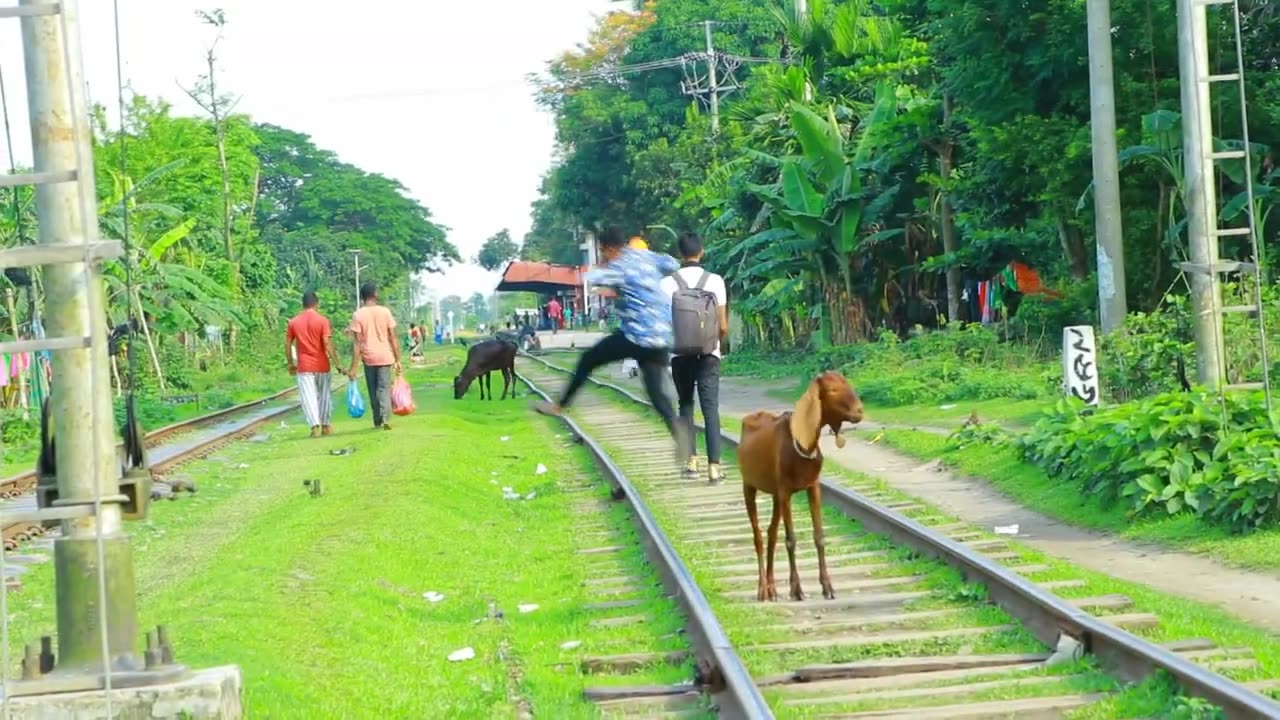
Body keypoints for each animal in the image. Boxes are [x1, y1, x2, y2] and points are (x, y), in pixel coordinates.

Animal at [737, 368, 865, 599]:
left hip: (775, 495)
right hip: (749, 486)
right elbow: (791, 539)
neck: (802, 445)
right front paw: (797, 589)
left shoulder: (812, 487)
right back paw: (762, 590)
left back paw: (772, 588)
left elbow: (819, 536)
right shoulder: (785, 491)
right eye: (832, 390)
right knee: (758, 536)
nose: (859, 411)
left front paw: (827, 586)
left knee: (771, 534)